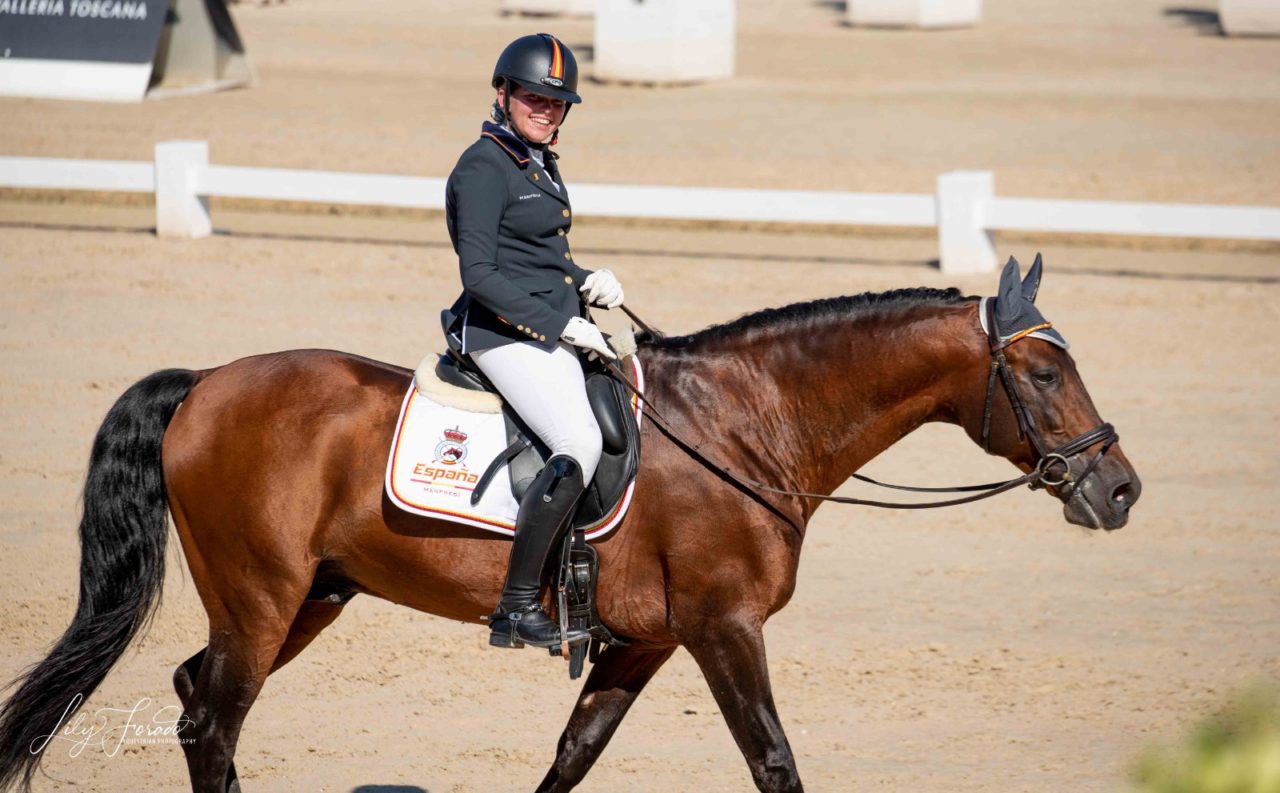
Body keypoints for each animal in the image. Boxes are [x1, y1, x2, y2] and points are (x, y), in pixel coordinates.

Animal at [0, 257, 1141, 787]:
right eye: (1044, 372)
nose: (1120, 488)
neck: (746, 425)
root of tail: (203, 384)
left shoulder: (648, 639)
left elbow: (574, 753)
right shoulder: (724, 627)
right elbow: (774, 759)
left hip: (308, 596)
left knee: (200, 696)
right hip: (262, 594)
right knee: (212, 717)